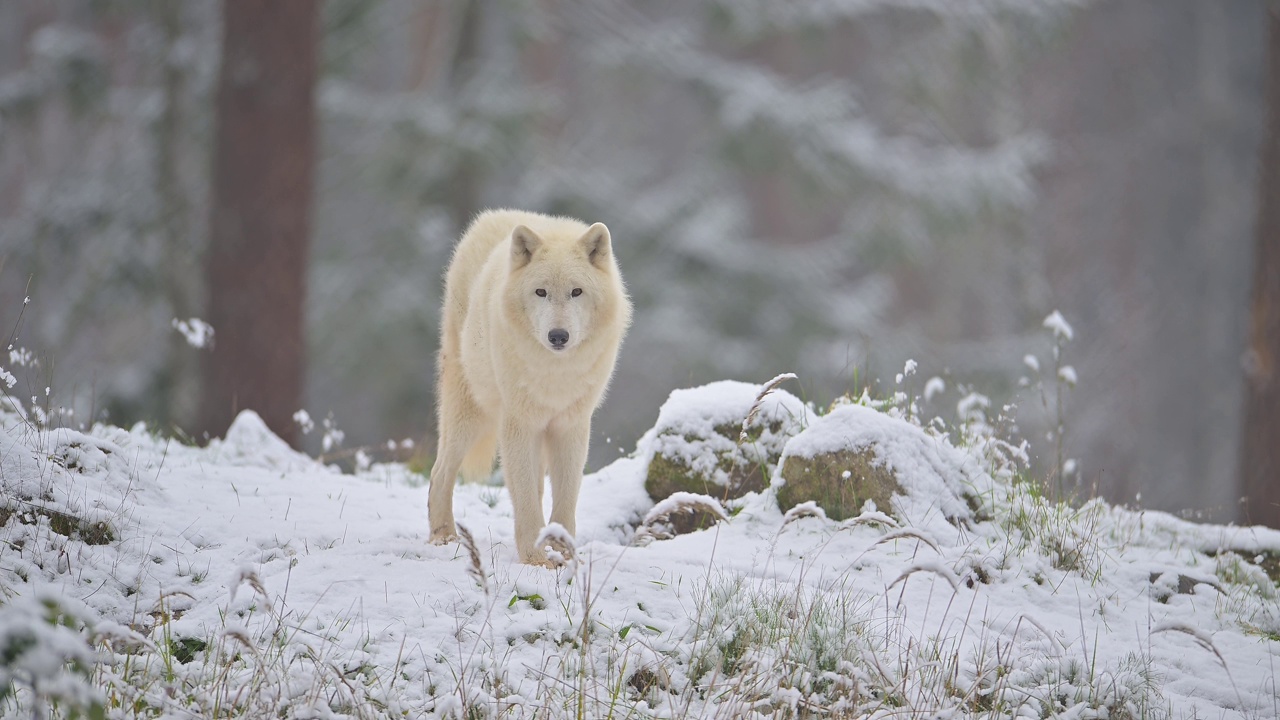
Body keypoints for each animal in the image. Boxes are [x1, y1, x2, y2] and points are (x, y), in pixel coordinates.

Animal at [427, 204, 632, 563]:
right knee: (439, 474)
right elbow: (523, 499)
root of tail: (494, 216)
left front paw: (562, 552)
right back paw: (444, 538)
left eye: (576, 291)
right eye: (541, 292)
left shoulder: (571, 425)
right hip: (471, 415)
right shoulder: (519, 424)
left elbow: (564, 498)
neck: (554, 373)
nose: (558, 336)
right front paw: (536, 561)